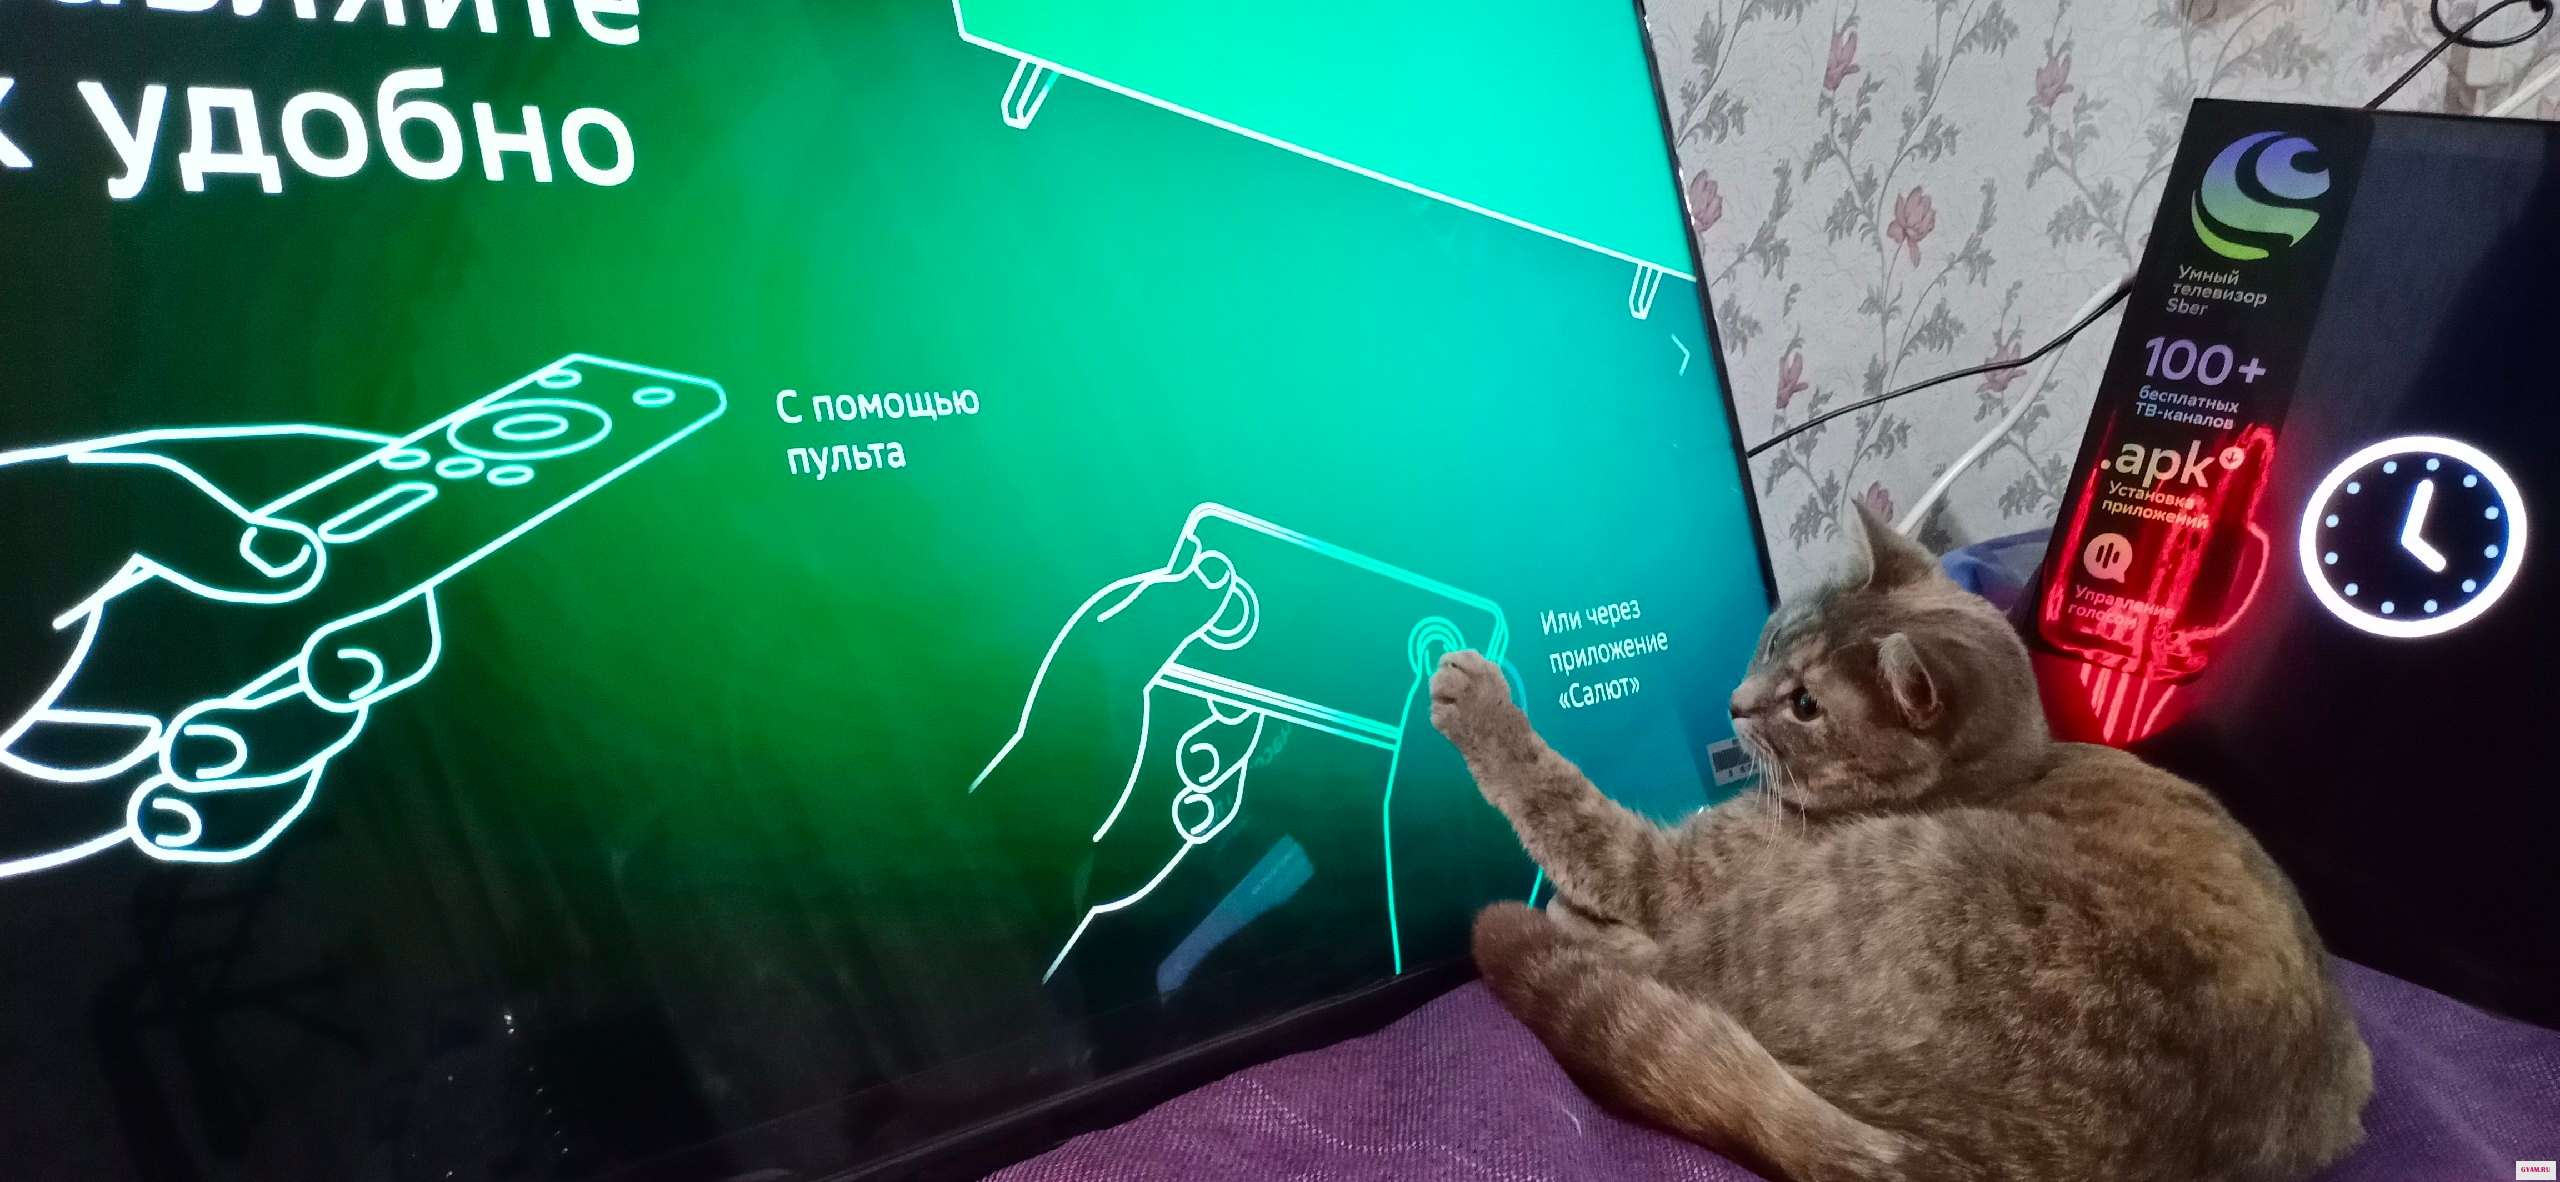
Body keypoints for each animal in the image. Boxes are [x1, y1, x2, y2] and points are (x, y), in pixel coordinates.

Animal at [1428, 502, 2371, 1182]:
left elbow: (1568, 808)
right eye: (1776, 637)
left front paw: (1480, 704)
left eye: (1807, 705)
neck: (2013, 766)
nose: (1735, 704)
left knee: (1657, 965)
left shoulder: (1669, 870)